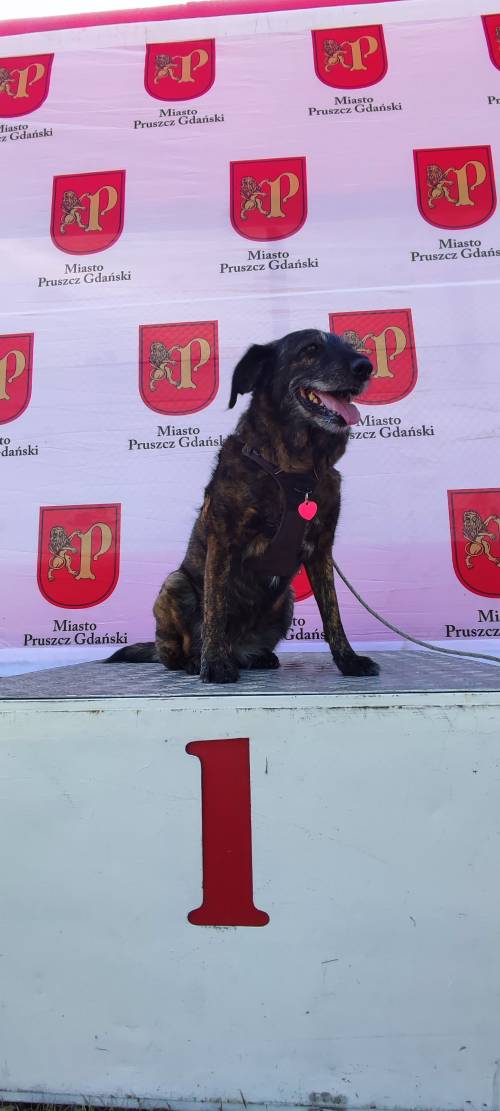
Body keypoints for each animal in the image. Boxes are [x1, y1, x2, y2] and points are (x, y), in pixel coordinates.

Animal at [109, 324, 380, 679]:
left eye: (349, 346)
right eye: (309, 349)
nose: (365, 367)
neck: (294, 467)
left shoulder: (321, 549)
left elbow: (332, 613)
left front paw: (348, 659)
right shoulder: (224, 541)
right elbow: (215, 609)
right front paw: (214, 664)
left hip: (286, 600)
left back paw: (256, 656)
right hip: (175, 584)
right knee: (172, 652)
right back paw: (195, 660)